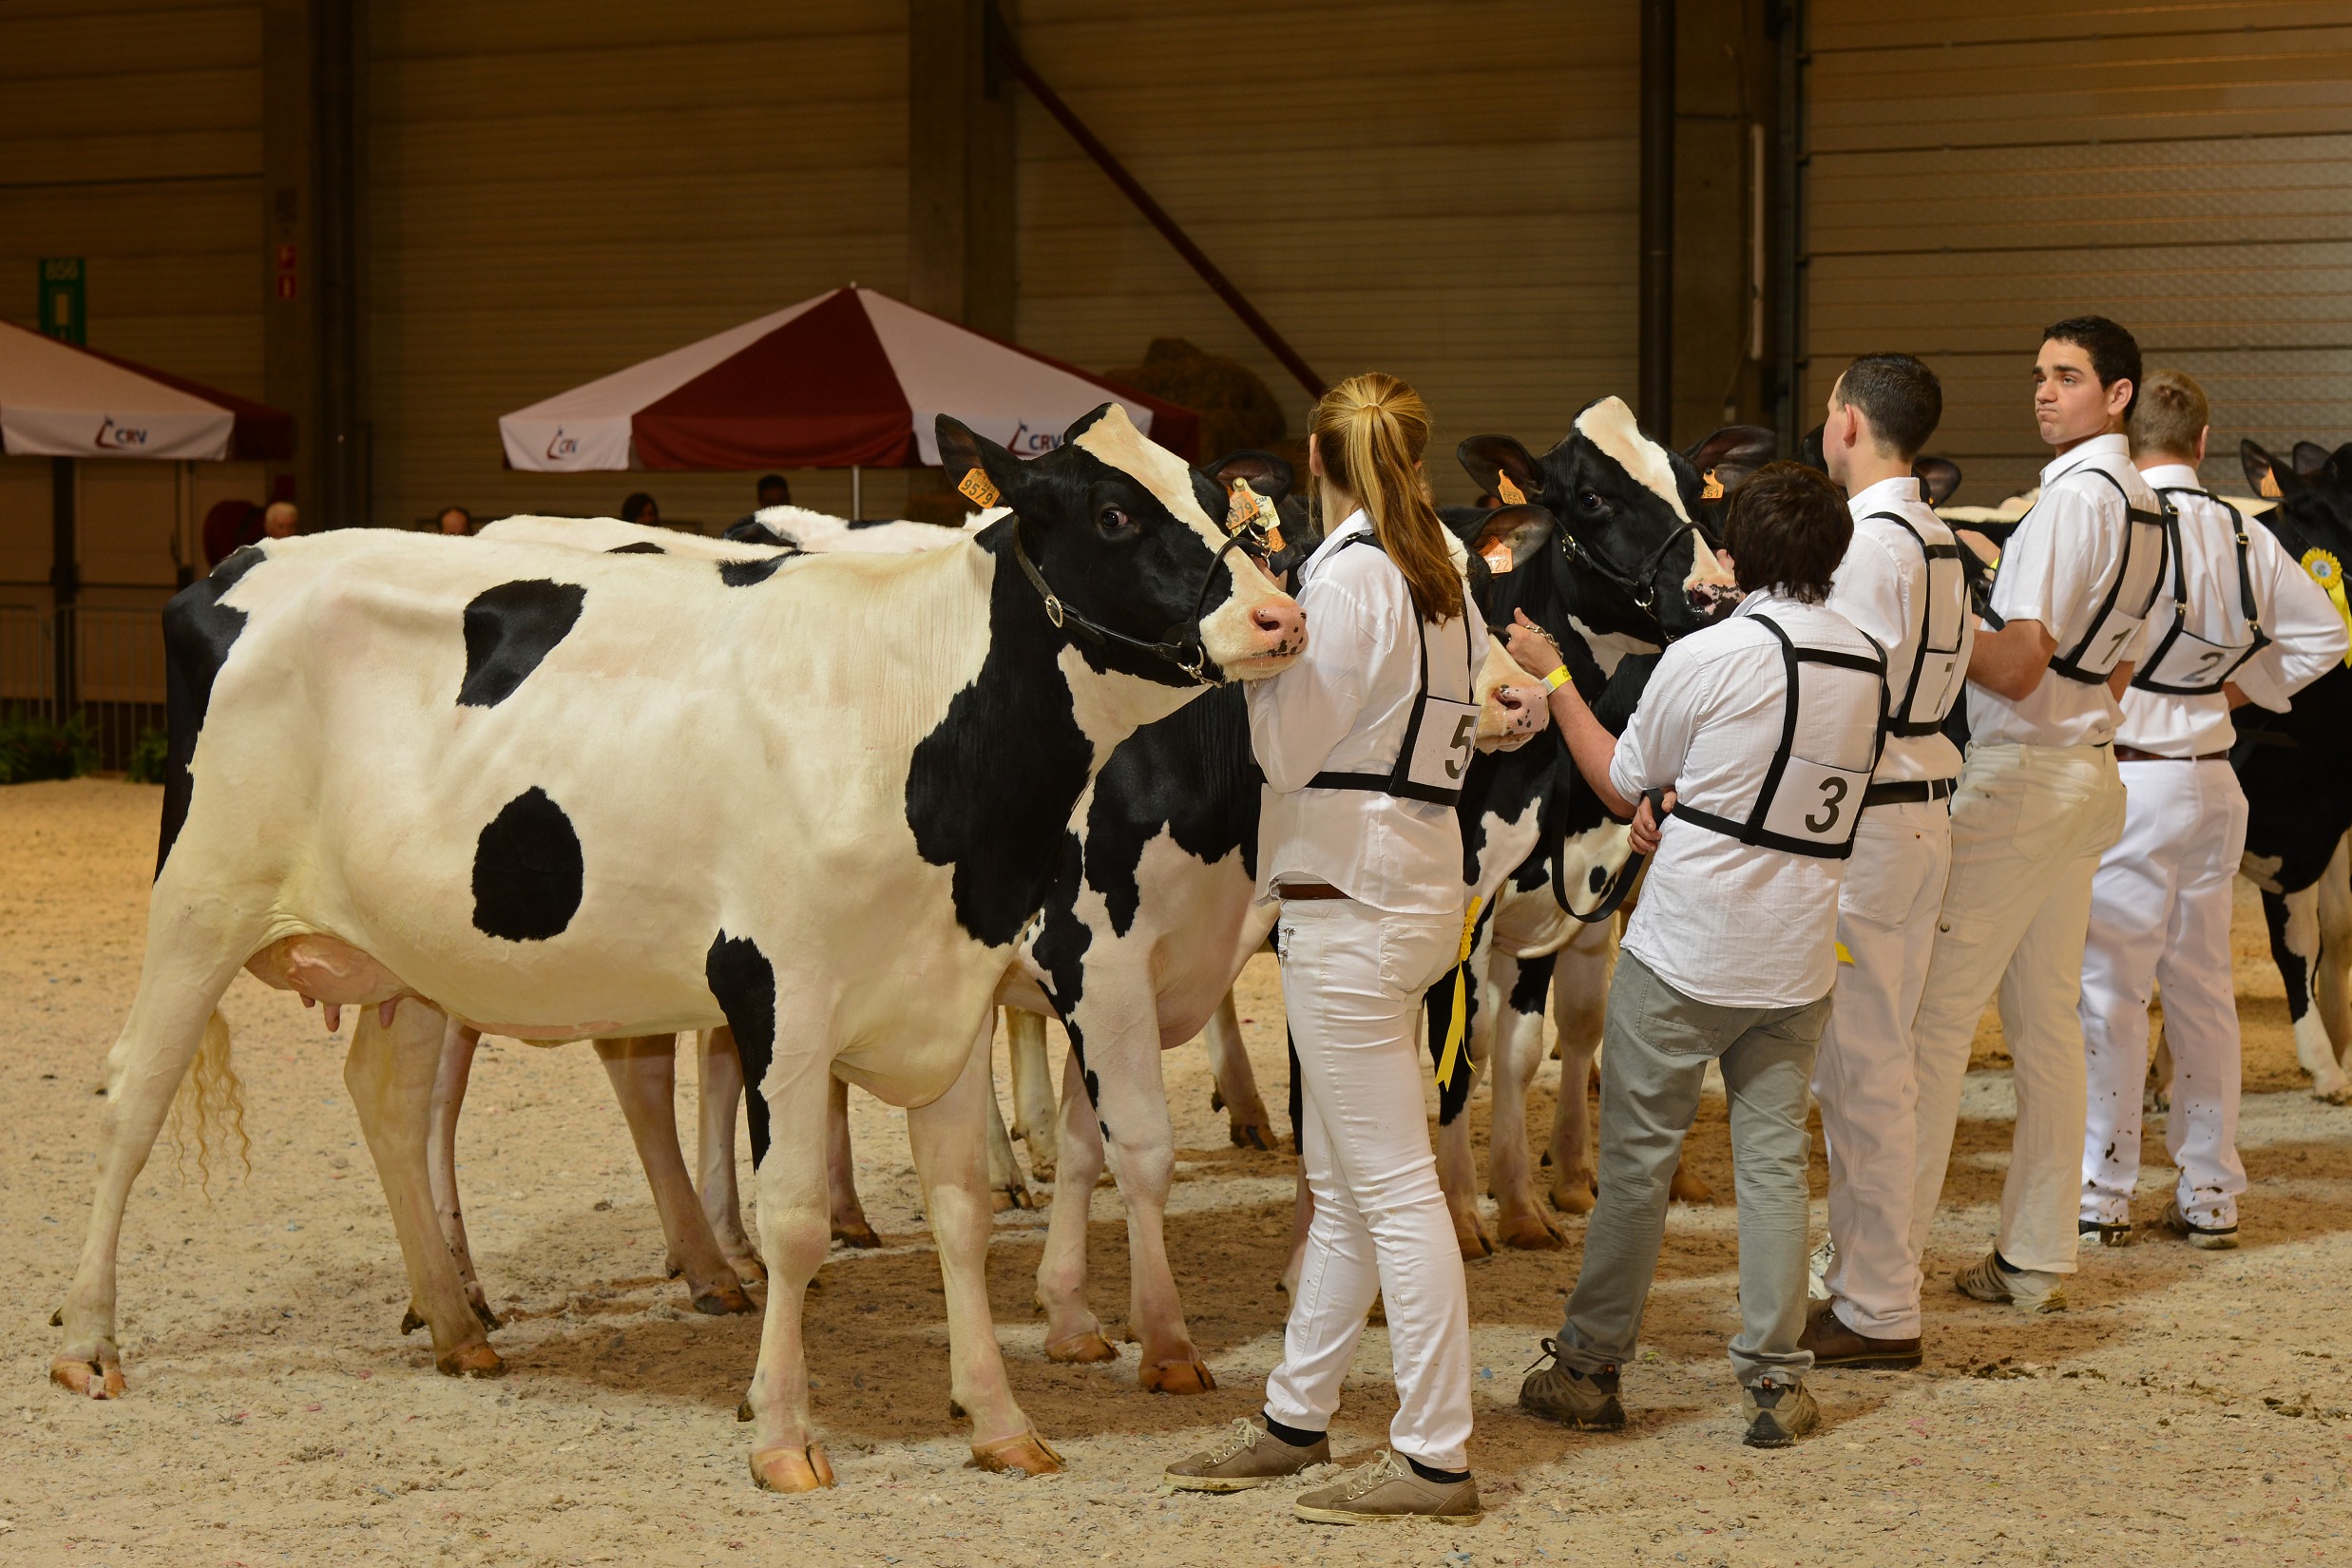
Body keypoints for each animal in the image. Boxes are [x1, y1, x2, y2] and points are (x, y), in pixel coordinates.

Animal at [50, 394, 1308, 1495]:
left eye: (1222, 503)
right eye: (1114, 515)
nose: (1280, 618)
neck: (911, 718)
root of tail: (246, 563)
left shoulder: (945, 992)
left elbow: (959, 1209)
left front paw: (1000, 1421)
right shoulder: (785, 992)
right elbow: (792, 1215)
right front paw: (784, 1435)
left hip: (406, 953)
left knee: (393, 1102)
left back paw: (456, 1322)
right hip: (202, 897)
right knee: (131, 1095)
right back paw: (86, 1339)